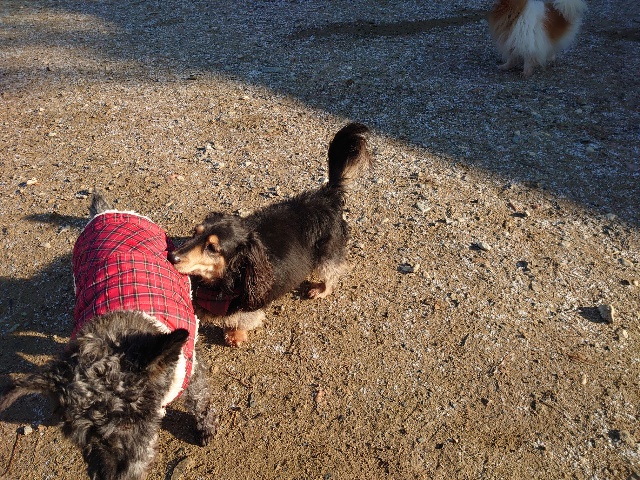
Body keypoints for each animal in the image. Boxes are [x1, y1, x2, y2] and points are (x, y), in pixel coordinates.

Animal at [0, 193, 218, 480]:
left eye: (132, 420)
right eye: (81, 432)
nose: (116, 474)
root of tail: (108, 213)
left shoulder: (191, 369)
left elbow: (200, 399)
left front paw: (205, 427)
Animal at [169, 123, 372, 347]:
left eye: (212, 248)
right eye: (195, 233)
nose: (171, 256)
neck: (224, 281)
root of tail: (328, 196)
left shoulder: (249, 302)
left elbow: (241, 320)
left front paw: (234, 335)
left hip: (328, 254)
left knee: (332, 272)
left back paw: (321, 290)